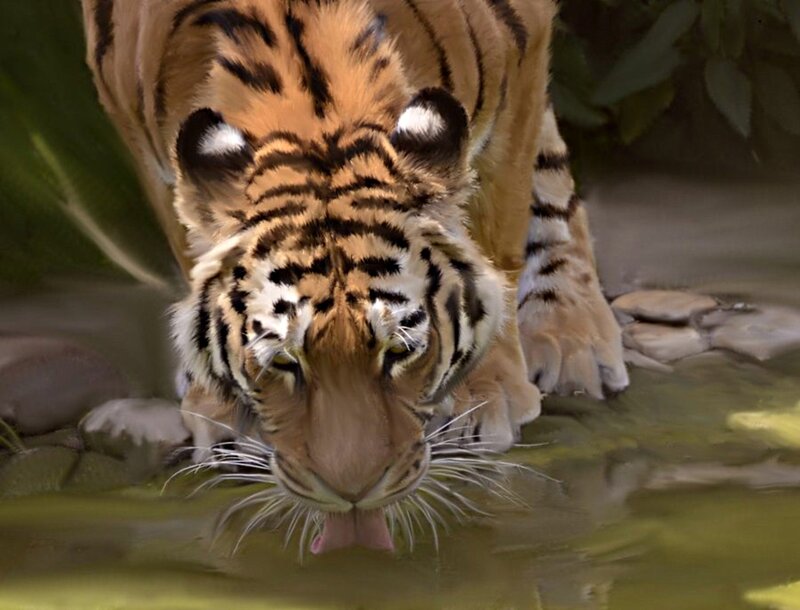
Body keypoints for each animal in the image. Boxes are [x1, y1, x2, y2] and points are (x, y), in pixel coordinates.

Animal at [81, 0, 628, 553]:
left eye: (402, 349)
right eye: (283, 359)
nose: (353, 492)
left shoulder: (520, 61)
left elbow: (497, 236)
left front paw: (486, 396)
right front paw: (217, 408)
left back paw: (573, 338)